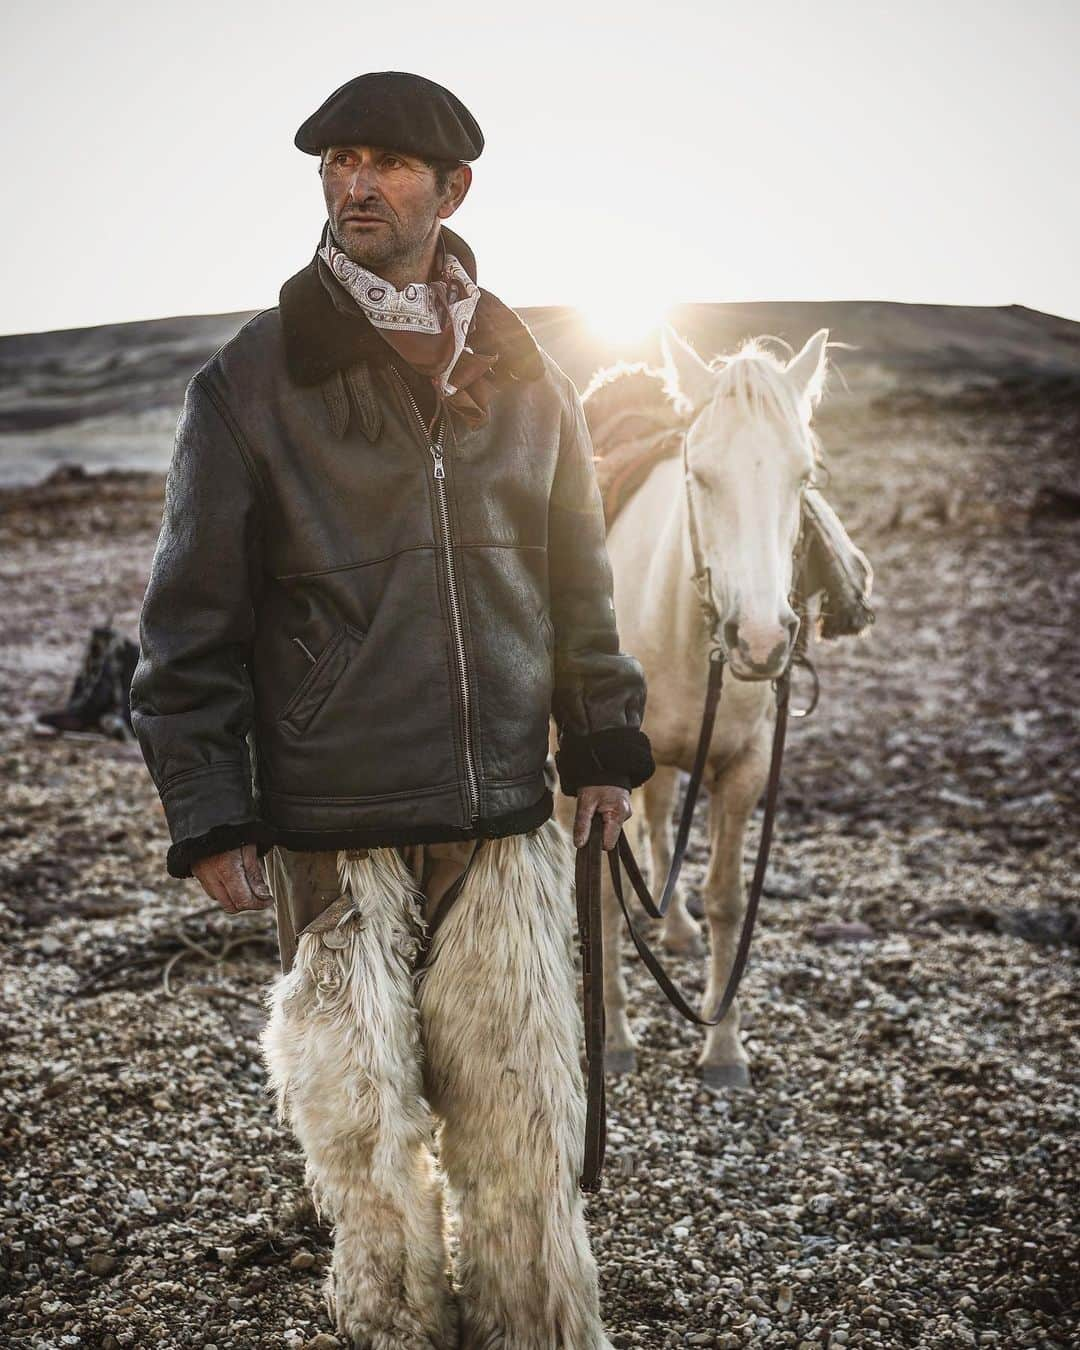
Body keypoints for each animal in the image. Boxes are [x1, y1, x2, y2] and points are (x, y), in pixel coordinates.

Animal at [561, 326, 831, 1085]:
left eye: (803, 476)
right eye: (702, 476)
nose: (762, 640)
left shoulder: (742, 770)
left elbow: (726, 898)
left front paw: (724, 1046)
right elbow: (603, 903)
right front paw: (616, 1039)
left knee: (659, 825)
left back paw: (676, 925)